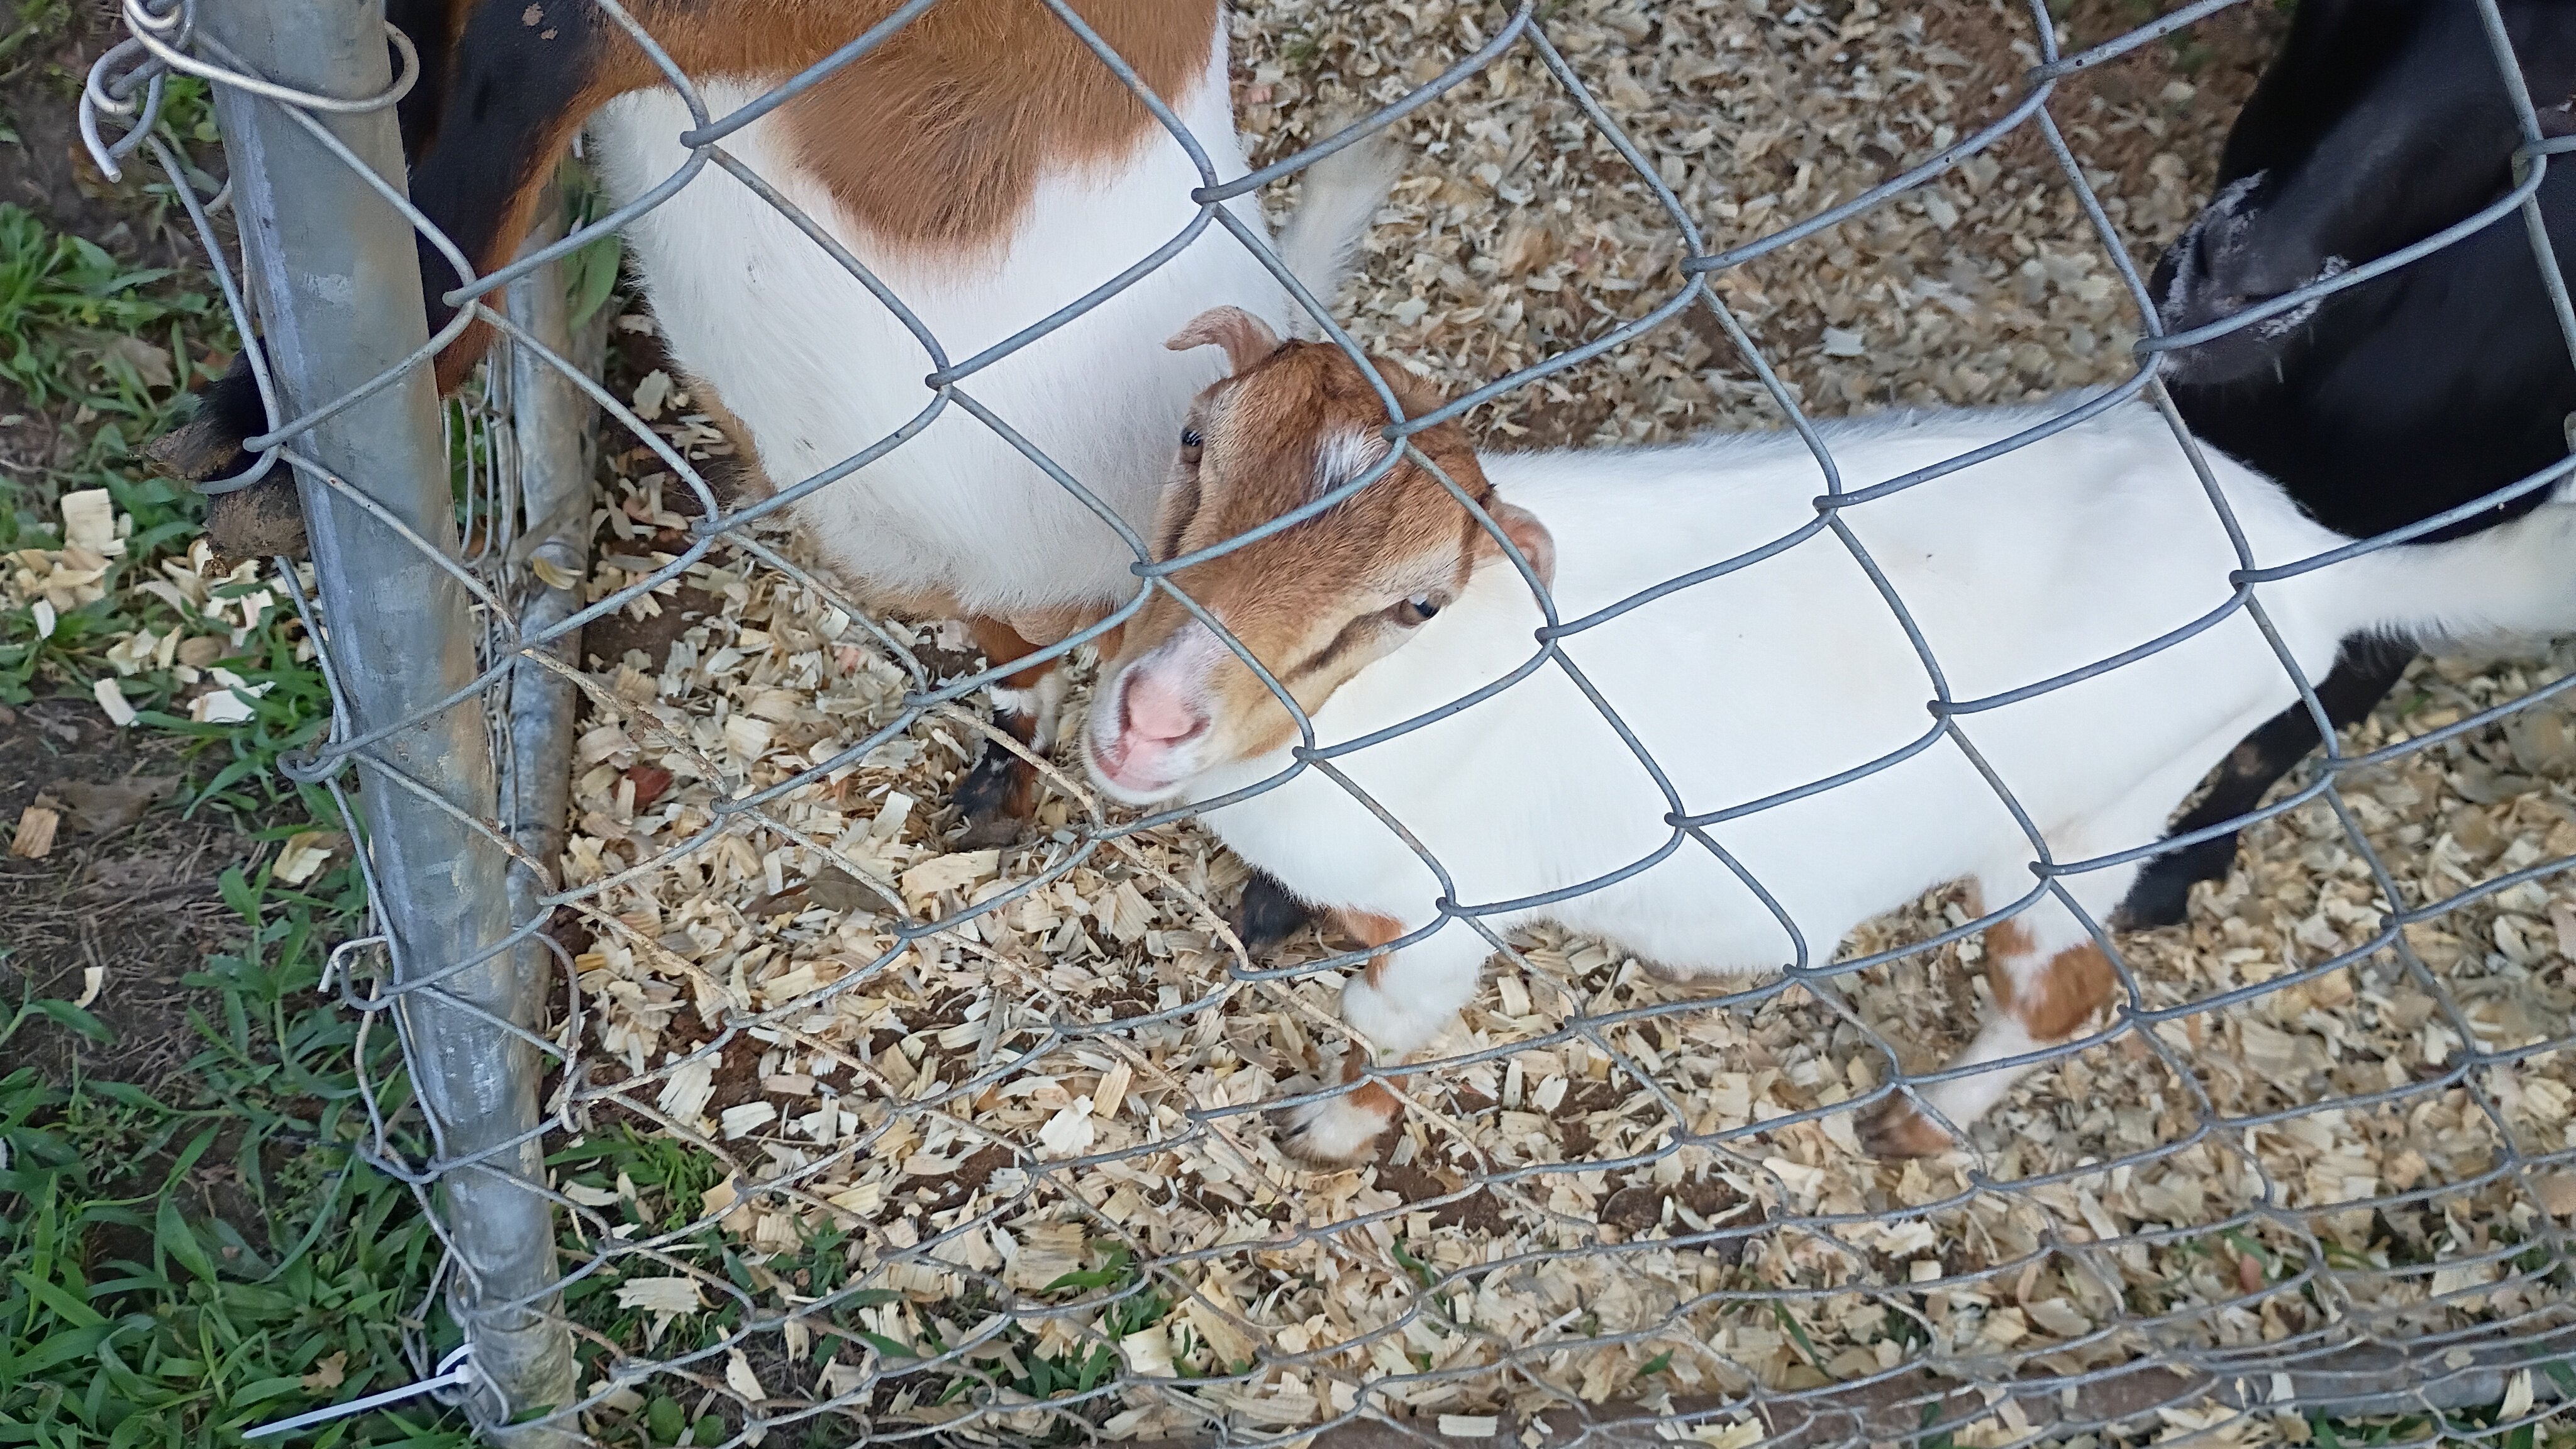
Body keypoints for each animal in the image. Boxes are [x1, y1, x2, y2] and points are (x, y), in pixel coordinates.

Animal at [150, 0, 1390, 869]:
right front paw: (245, 425)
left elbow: (534, 50)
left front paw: (273, 441)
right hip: (966, 573)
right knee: (1017, 658)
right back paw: (990, 799)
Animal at [1084, 309, 2576, 1163]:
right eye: (1194, 440)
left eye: (1414, 603)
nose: (1151, 715)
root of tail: (2308, 554)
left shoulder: (1445, 909)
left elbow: (1387, 1032)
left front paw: (1334, 1132)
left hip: (2093, 817)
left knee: (2057, 987)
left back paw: (1924, 1123)